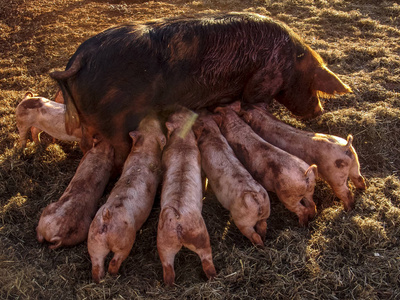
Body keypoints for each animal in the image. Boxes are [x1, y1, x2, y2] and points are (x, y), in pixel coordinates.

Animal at [50, 12, 350, 169]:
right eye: (312, 84)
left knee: (87, 144)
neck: (290, 61)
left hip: (89, 122)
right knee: (119, 150)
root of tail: (80, 58)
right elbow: (255, 104)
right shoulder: (262, 83)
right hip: (114, 123)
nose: (319, 110)